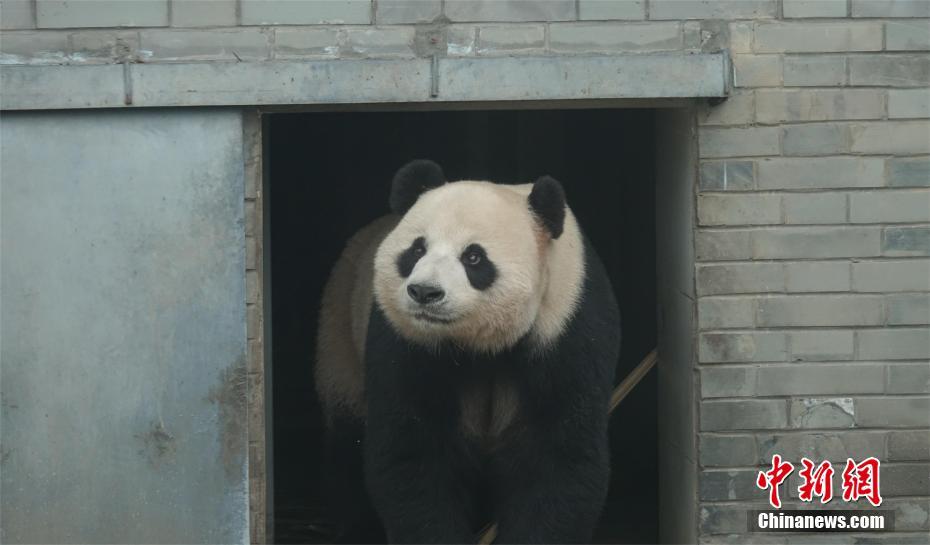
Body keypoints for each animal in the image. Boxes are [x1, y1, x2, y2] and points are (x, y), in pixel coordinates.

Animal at [316, 159, 620, 540]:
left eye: (474, 257)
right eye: (416, 250)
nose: (425, 292)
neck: (479, 345)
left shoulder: (566, 327)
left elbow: (558, 457)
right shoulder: (406, 343)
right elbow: (415, 456)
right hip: (340, 332)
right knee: (347, 435)